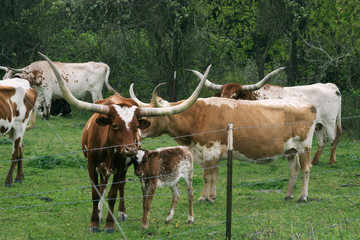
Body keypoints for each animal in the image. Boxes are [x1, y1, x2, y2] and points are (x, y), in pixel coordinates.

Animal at [40, 52, 211, 232]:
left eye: (136, 126)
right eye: (115, 125)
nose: (130, 150)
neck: (108, 149)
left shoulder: (121, 166)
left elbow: (113, 194)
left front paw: (109, 224)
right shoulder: (91, 165)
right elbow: (95, 193)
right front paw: (94, 222)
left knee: (119, 187)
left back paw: (121, 213)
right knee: (102, 187)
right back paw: (100, 213)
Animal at [131, 84, 316, 202]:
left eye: (150, 117)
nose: (137, 133)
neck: (196, 117)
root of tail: (308, 105)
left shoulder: (209, 151)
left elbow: (207, 176)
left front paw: (203, 198)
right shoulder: (214, 154)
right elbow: (214, 175)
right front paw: (212, 197)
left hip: (304, 147)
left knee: (306, 169)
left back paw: (302, 197)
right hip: (290, 150)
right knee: (294, 168)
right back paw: (288, 195)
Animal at [190, 69, 342, 166]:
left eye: (234, 96)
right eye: (222, 95)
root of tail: (331, 86)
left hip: (329, 121)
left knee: (334, 138)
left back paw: (331, 161)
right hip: (319, 124)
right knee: (322, 141)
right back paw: (314, 161)